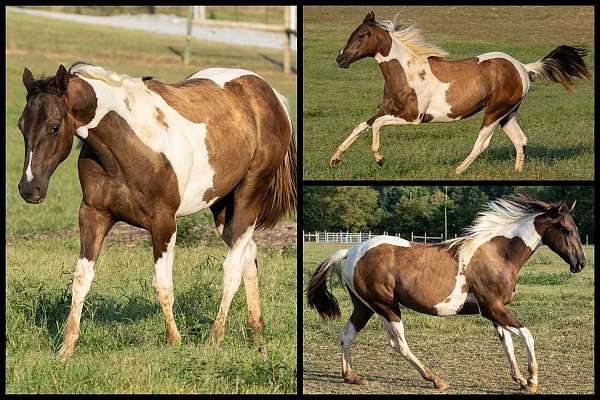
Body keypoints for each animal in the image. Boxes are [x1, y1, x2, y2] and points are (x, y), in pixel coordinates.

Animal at [14, 61, 296, 360]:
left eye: (54, 126)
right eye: (21, 126)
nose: (29, 188)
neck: (129, 144)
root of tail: (270, 94)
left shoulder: (163, 222)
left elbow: (163, 285)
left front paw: (174, 340)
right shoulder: (93, 215)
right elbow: (81, 278)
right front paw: (66, 348)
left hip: (249, 194)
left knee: (232, 267)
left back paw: (215, 338)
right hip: (221, 206)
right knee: (248, 255)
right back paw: (257, 336)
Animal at [310, 195, 584, 394]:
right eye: (568, 230)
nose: (580, 263)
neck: (497, 255)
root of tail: (350, 252)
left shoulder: (494, 311)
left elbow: (507, 344)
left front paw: (519, 380)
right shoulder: (494, 308)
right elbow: (527, 335)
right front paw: (532, 380)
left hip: (364, 307)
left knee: (347, 335)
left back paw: (352, 377)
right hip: (386, 306)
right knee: (398, 343)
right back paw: (436, 379)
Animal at [330, 10, 592, 173]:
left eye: (361, 35)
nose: (340, 59)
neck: (406, 71)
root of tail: (523, 68)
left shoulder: (413, 117)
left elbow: (376, 125)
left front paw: (380, 159)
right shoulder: (389, 109)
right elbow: (361, 125)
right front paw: (335, 159)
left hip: (494, 111)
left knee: (482, 144)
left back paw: (457, 170)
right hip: (507, 113)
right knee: (521, 140)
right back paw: (517, 172)